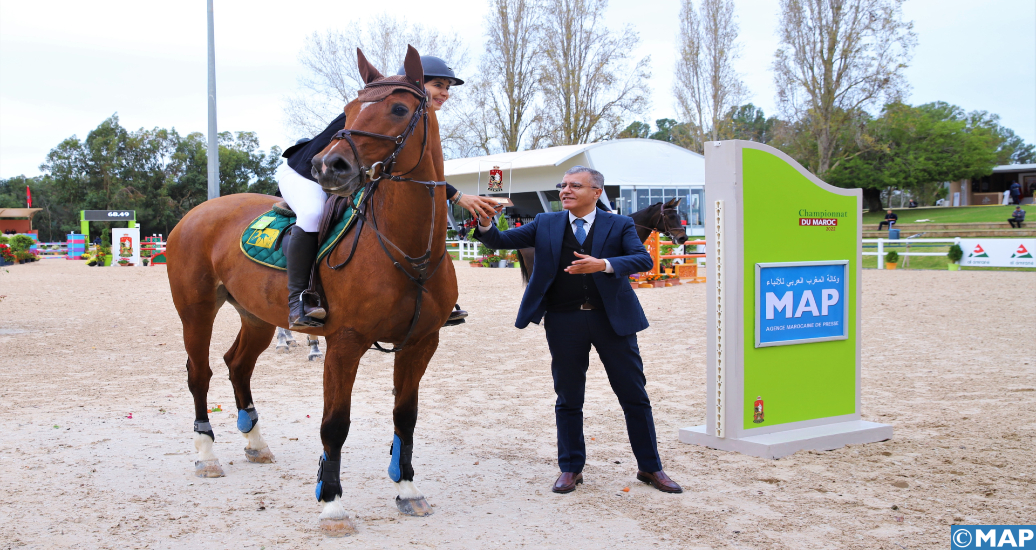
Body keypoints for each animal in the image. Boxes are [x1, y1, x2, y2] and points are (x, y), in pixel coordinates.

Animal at [167, 47, 455, 534]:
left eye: (399, 109)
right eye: (350, 109)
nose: (328, 166)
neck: (408, 247)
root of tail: (198, 212)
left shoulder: (421, 343)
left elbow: (405, 417)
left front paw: (408, 490)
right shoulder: (345, 342)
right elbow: (335, 424)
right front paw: (332, 504)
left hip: (257, 317)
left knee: (237, 365)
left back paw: (255, 442)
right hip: (197, 310)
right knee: (200, 374)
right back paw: (206, 454)